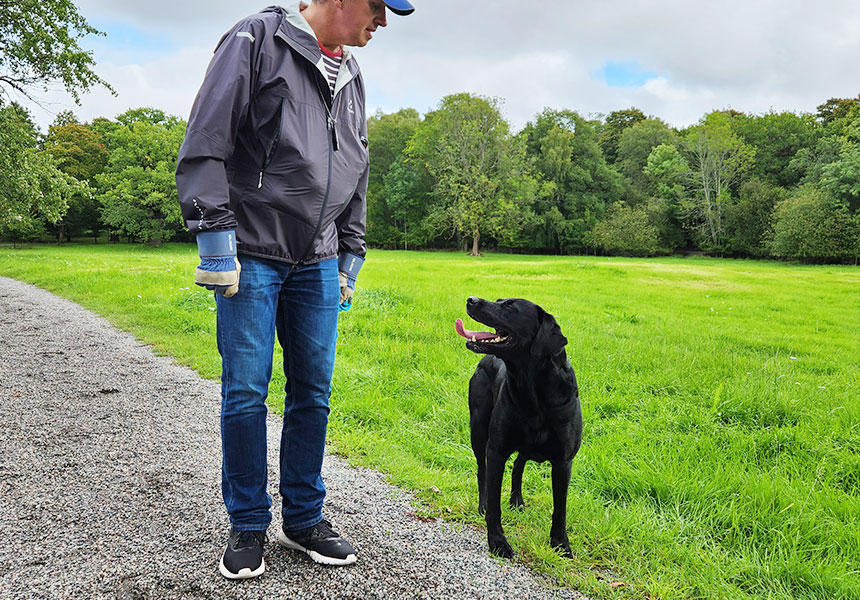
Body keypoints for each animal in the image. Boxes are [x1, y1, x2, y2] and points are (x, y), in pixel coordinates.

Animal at [456, 296, 584, 556]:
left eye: (509, 307)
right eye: (498, 300)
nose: (471, 299)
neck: (533, 393)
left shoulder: (564, 461)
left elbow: (560, 508)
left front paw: (560, 544)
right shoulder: (496, 449)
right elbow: (494, 502)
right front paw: (498, 542)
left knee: (518, 464)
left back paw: (516, 501)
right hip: (478, 430)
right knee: (482, 471)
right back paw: (483, 504)